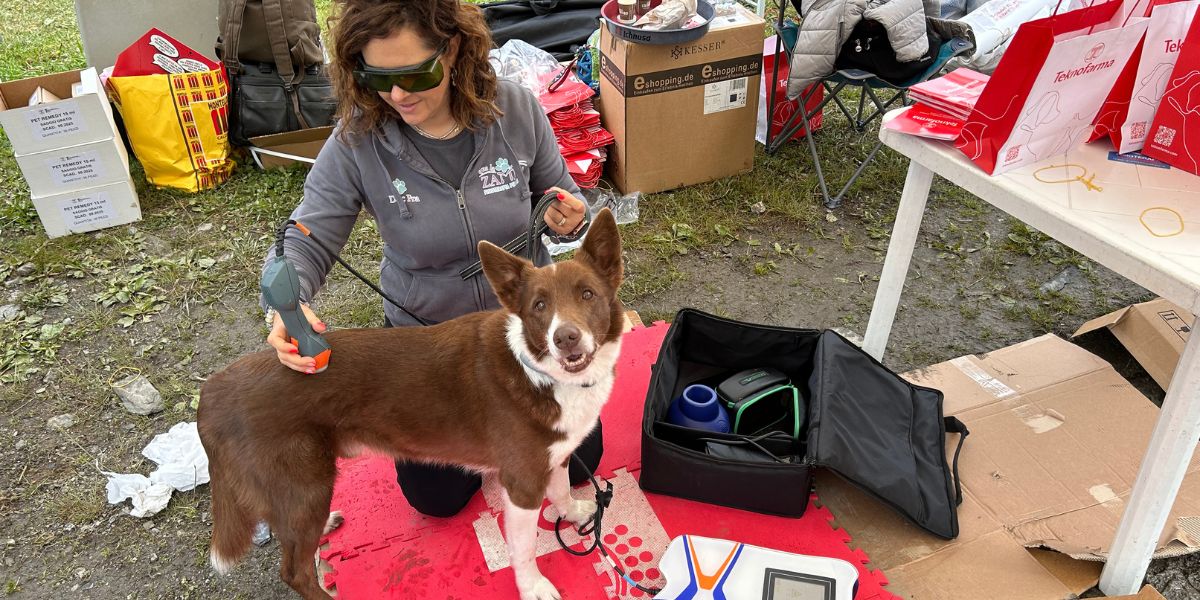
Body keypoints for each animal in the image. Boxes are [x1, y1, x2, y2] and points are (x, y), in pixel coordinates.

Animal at [194, 208, 628, 597]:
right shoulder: (521, 482)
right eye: (539, 306)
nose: (565, 338)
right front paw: (533, 587)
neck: (540, 372)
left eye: (587, 294)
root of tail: (212, 391)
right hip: (305, 484)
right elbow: (523, 549)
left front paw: (573, 512)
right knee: (294, 572)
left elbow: (560, 488)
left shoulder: (554, 455)